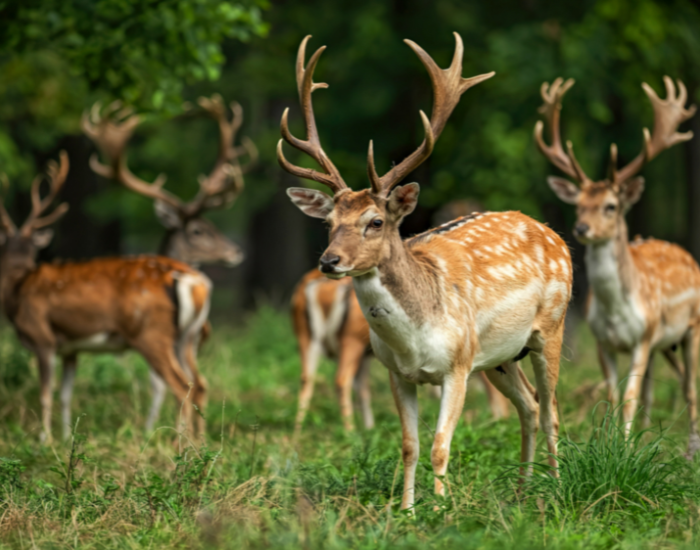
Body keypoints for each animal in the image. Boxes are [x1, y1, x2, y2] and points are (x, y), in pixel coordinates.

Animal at [0, 152, 212, 442]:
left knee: (181, 386)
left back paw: (180, 448)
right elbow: (65, 395)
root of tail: (195, 281)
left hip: (151, 334)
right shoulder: (71, 348)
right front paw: (66, 438)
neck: (16, 289)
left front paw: (45, 440)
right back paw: (201, 446)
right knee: (200, 384)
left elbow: (45, 394)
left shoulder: (42, 336)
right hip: (187, 337)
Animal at [80, 96, 255, 432]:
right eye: (198, 230)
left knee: (183, 383)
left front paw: (151, 431)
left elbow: (159, 384)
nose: (237, 252)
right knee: (196, 383)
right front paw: (154, 428)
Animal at [278, 33, 573, 510]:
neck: (415, 337)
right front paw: (407, 510)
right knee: (528, 405)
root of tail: (553, 234)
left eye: (375, 221)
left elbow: (439, 445)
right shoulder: (397, 372)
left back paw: (556, 488)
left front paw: (441, 509)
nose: (328, 261)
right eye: (328, 222)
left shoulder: (457, 365)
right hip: (500, 356)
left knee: (551, 411)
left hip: (550, 327)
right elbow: (409, 445)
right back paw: (523, 490)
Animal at [535, 76, 700, 455]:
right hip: (661, 345)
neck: (616, 312)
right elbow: (613, 395)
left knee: (689, 387)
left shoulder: (643, 337)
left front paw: (622, 448)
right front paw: (614, 443)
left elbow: (629, 396)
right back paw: (649, 439)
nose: (582, 228)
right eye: (578, 204)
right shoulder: (603, 342)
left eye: (610, 205)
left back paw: (689, 450)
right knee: (655, 390)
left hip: (691, 328)